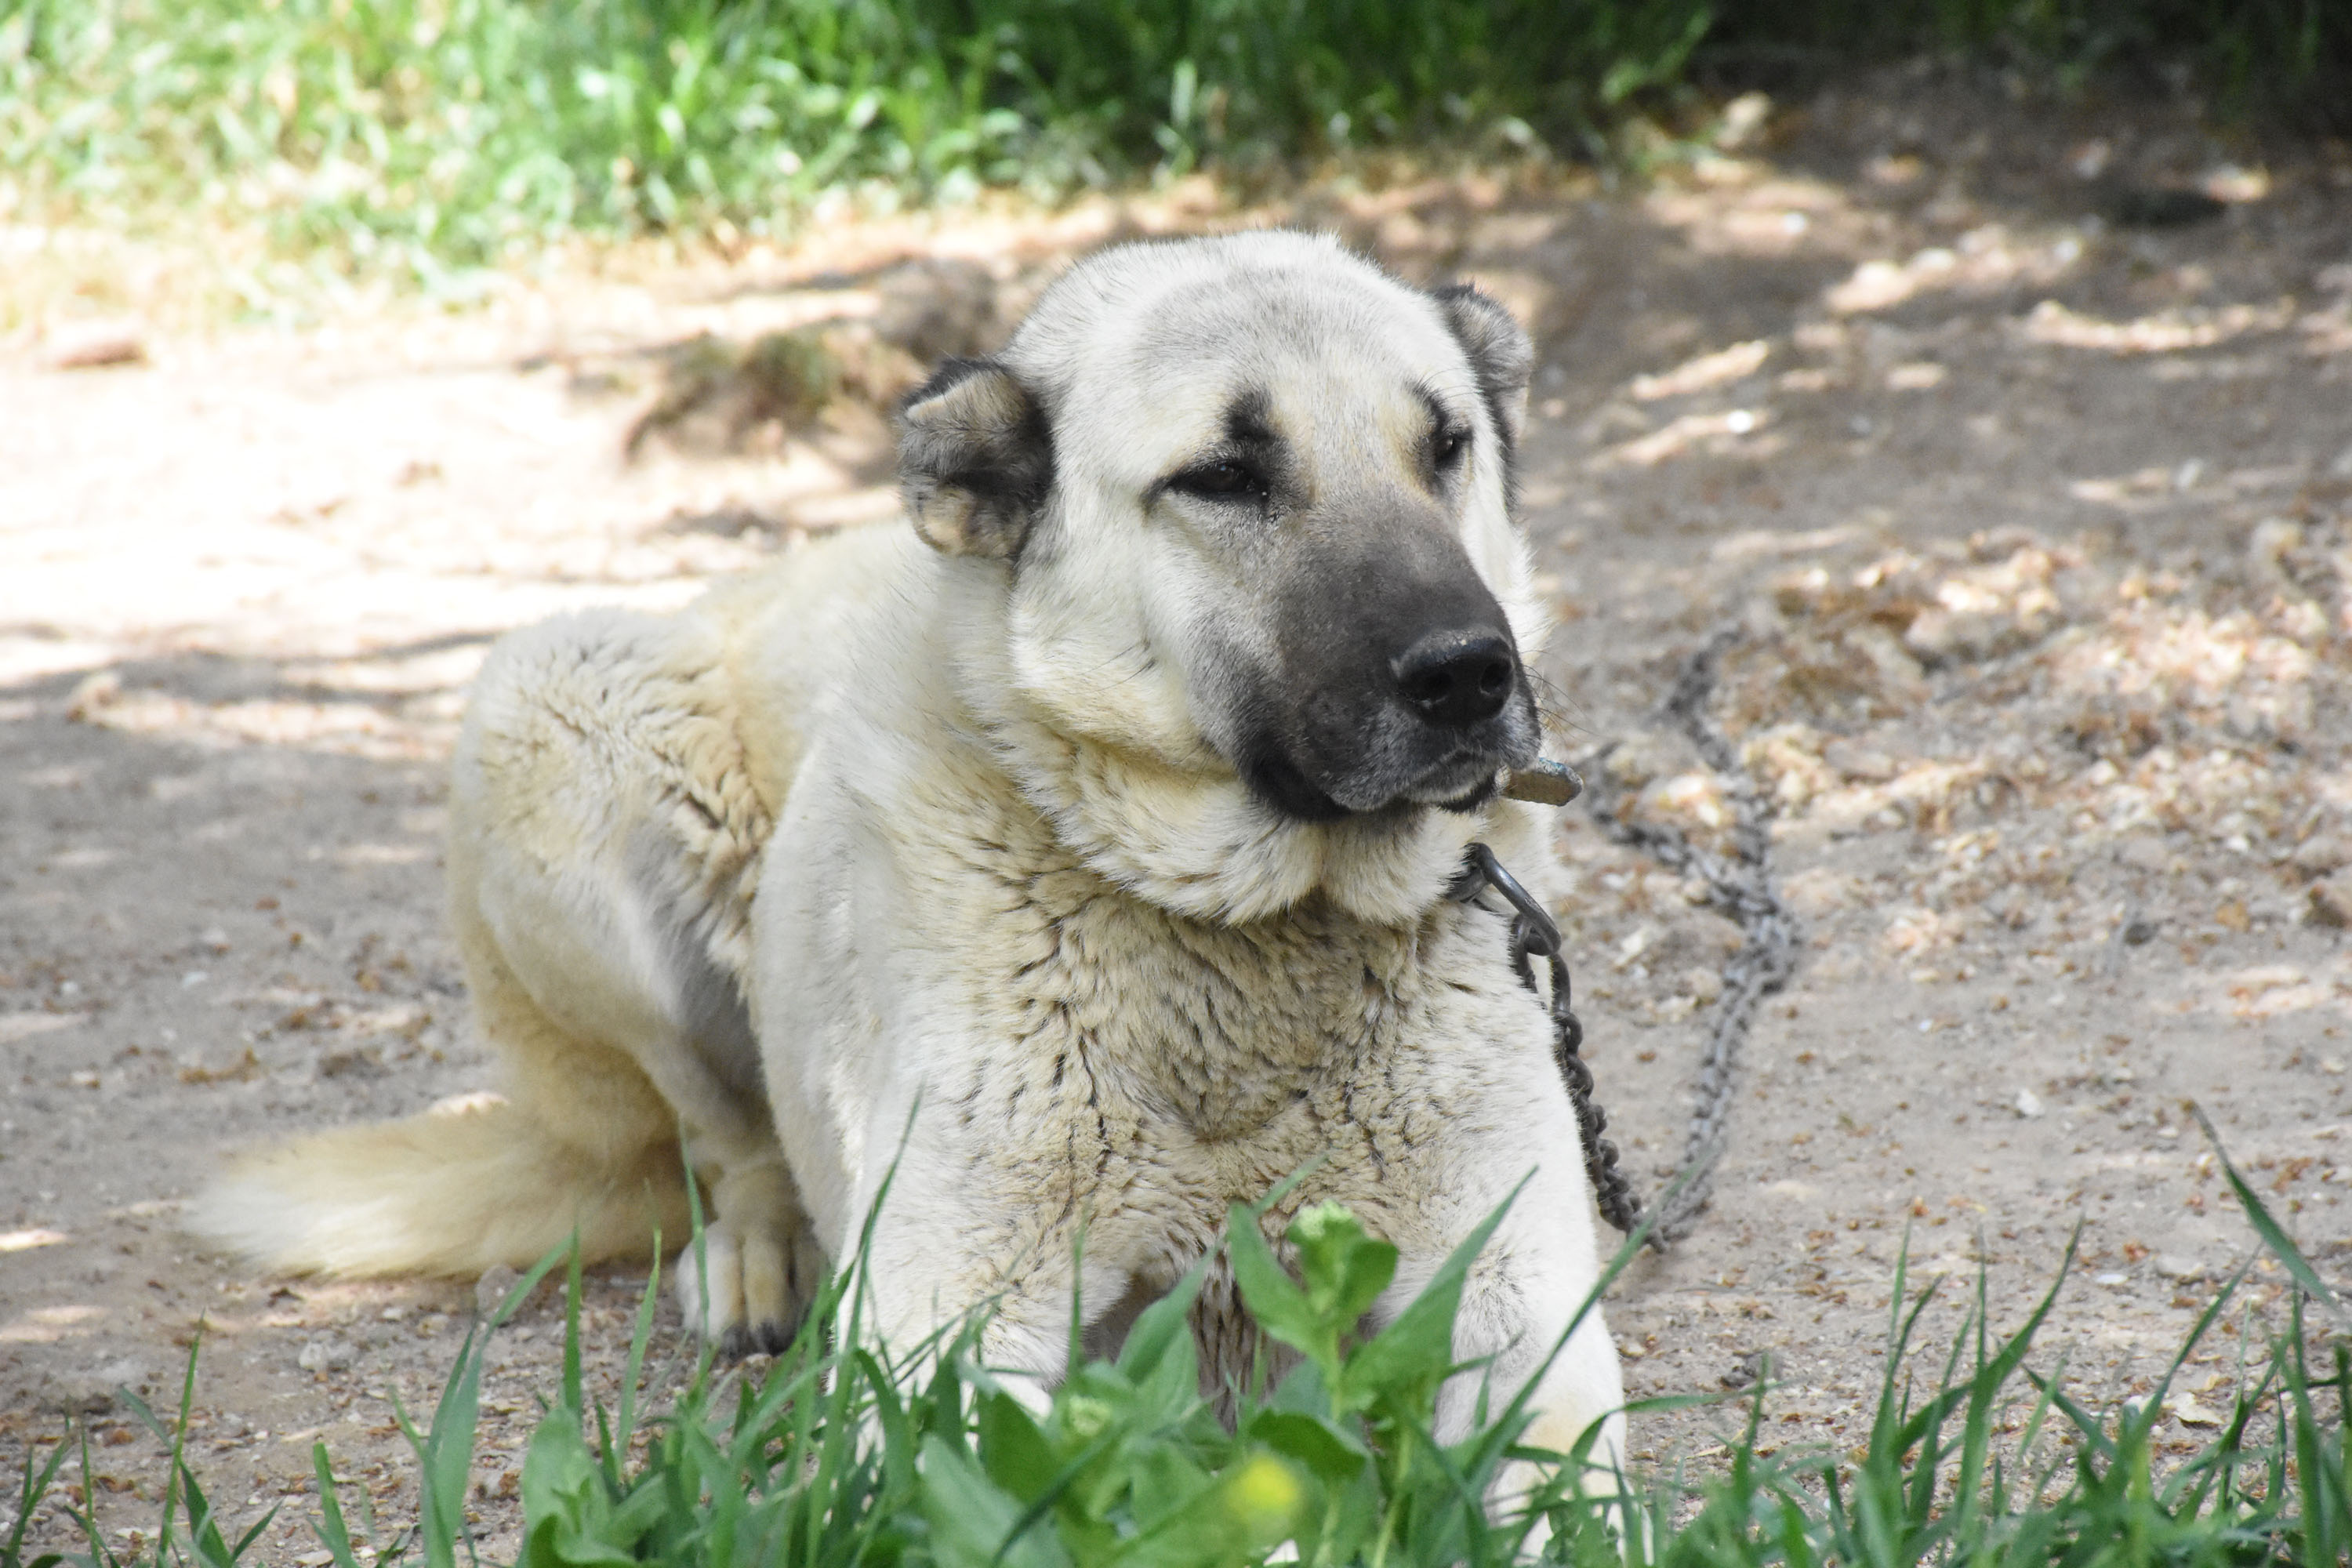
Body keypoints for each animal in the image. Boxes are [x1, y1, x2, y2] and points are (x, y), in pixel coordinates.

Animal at [202, 230, 1628, 1476]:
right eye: (1224, 477)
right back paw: (759, 1257)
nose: (1468, 675)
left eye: (1444, 448)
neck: (1245, 942)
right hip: (555, 709)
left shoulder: (1525, 1320)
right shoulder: (949, 1347)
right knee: (730, 1140)